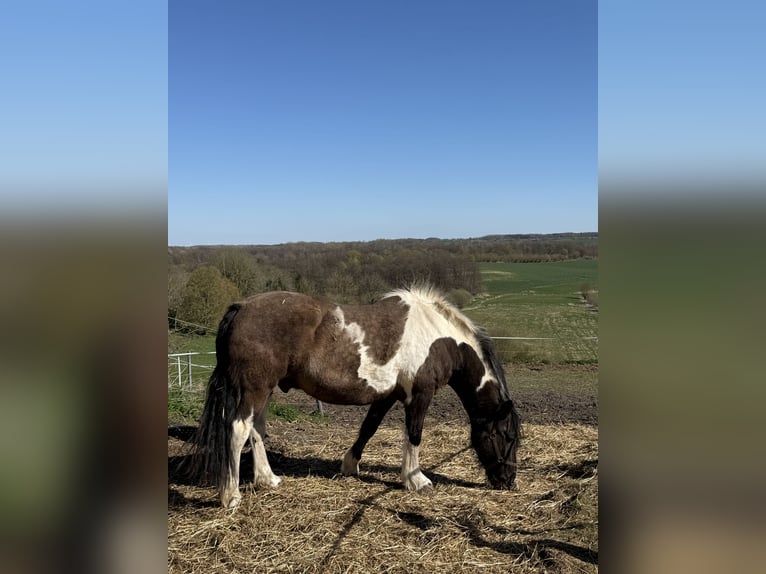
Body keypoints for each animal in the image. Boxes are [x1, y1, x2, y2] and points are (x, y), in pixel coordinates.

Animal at [188, 285, 521, 508]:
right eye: (505, 436)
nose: (508, 480)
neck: (439, 338)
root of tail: (241, 307)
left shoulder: (387, 395)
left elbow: (368, 427)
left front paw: (349, 466)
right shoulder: (419, 395)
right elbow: (413, 436)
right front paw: (416, 480)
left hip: (264, 390)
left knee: (256, 429)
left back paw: (267, 480)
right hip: (254, 388)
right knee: (239, 430)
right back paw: (231, 496)